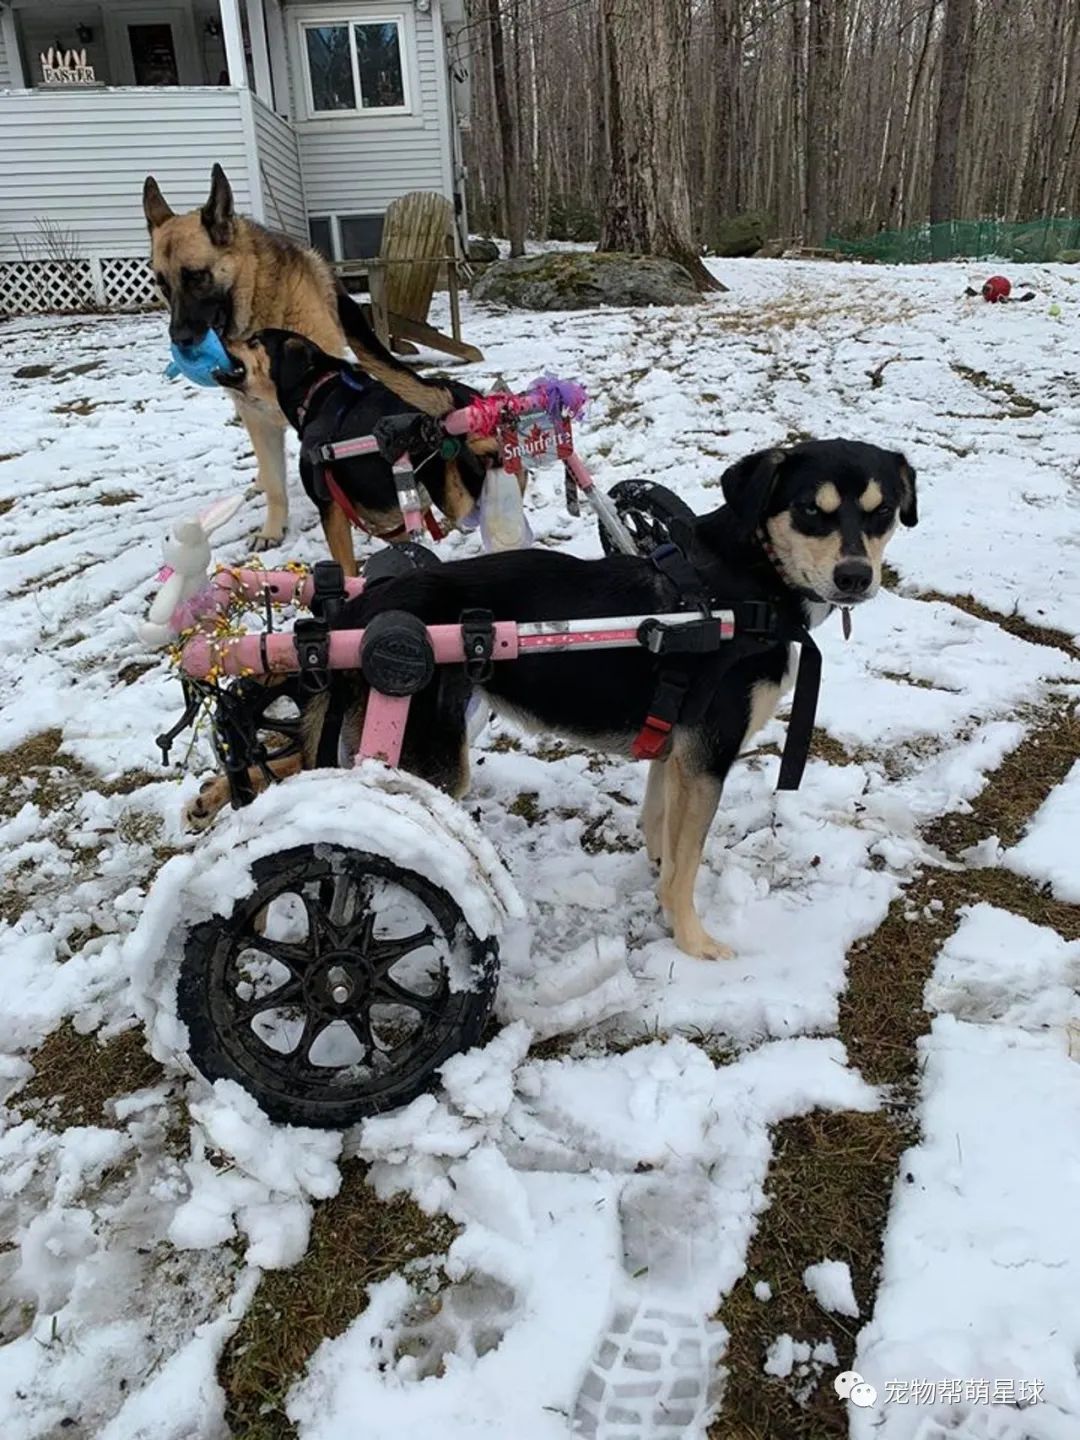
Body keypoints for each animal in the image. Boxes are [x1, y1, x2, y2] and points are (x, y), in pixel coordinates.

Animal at [141, 157, 466, 561]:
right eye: (162, 284)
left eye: (197, 277)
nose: (180, 341)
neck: (258, 303)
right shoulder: (255, 416)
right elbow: (275, 480)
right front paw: (271, 527)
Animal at [184, 437, 915, 956]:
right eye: (810, 511)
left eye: (881, 512)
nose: (856, 576)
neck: (744, 586)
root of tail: (356, 616)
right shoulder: (707, 756)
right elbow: (687, 864)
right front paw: (695, 943)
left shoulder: (675, 751)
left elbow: (661, 832)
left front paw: (656, 883)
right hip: (427, 756)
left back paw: (213, 796)